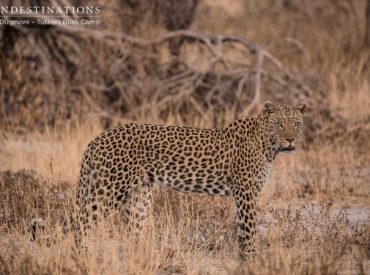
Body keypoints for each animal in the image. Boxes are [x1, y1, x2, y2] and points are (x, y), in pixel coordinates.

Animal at [72, 101, 306, 260]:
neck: (269, 145)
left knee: (132, 231)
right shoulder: (246, 192)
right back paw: (80, 256)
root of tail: (97, 139)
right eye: (280, 124)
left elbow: (242, 229)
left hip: (138, 196)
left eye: (296, 124)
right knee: (80, 222)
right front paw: (253, 260)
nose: (290, 139)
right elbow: (249, 230)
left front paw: (246, 259)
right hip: (108, 189)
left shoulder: (244, 194)